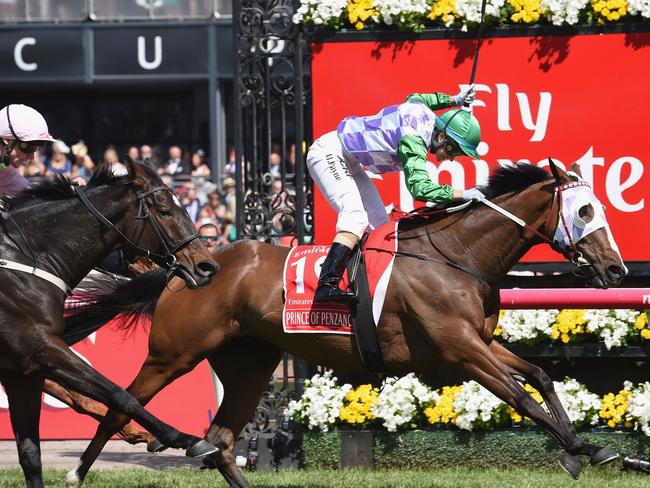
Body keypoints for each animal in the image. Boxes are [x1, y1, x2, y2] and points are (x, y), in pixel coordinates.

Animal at [0, 161, 219, 488]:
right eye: (165, 210)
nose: (207, 266)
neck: (26, 261)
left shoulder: (22, 370)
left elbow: (30, 454)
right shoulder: (42, 348)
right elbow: (119, 394)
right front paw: (185, 438)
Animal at [64, 161, 624, 488]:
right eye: (585, 209)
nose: (616, 270)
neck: (456, 255)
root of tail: (187, 266)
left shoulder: (480, 341)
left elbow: (540, 377)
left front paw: (586, 450)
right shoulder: (460, 349)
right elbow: (520, 396)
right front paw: (584, 450)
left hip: (249, 364)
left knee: (221, 441)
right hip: (173, 354)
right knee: (118, 408)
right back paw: (74, 472)